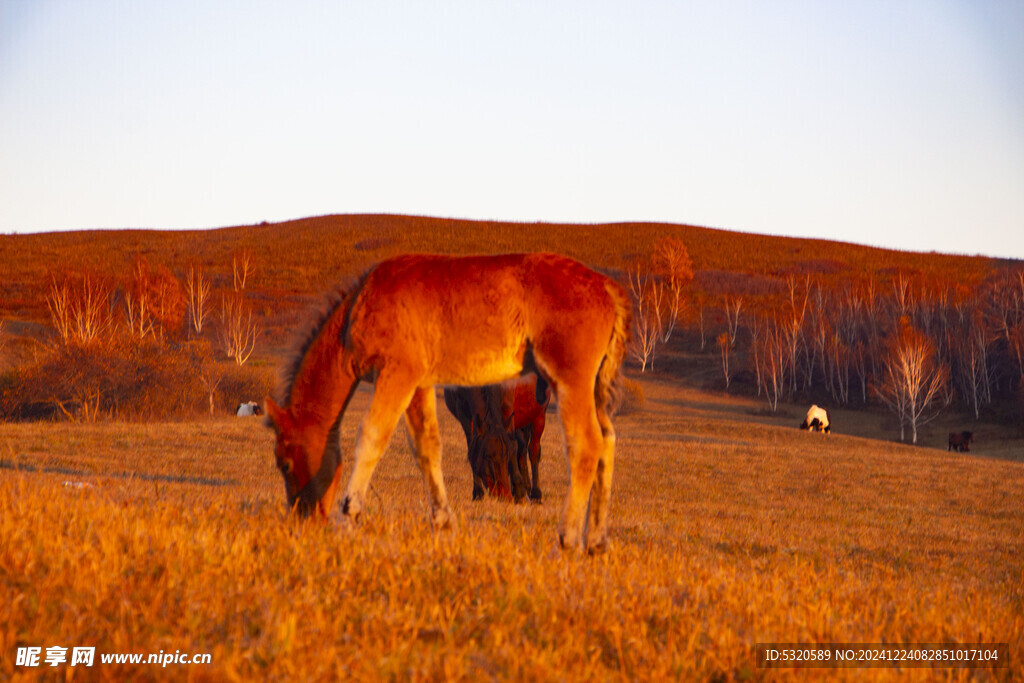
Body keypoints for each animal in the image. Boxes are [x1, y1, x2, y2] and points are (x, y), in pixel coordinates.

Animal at [262, 253, 630, 552]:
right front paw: (443, 523)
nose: (305, 519)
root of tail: (607, 287)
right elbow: (426, 447)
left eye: (285, 463)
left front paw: (348, 517)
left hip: (569, 381)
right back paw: (597, 542)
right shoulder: (418, 383)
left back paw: (568, 539)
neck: (360, 305)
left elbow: (371, 437)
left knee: (586, 446)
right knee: (607, 443)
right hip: (592, 388)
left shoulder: (397, 373)